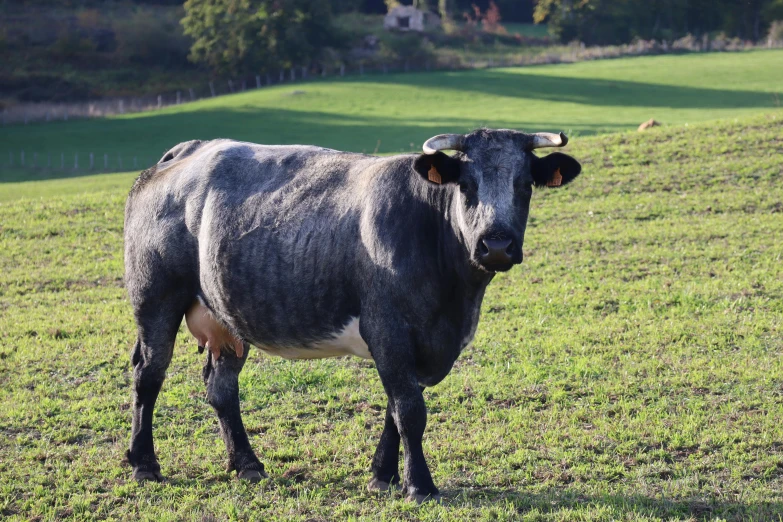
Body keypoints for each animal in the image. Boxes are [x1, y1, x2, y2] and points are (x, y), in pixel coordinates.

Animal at [124, 129, 580, 500]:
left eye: (525, 184)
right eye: (466, 185)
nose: (497, 244)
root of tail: (189, 149)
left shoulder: (417, 343)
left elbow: (395, 410)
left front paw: (383, 475)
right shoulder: (389, 329)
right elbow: (410, 411)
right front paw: (420, 485)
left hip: (228, 316)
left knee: (221, 388)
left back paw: (247, 464)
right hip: (155, 298)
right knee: (149, 375)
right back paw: (144, 464)